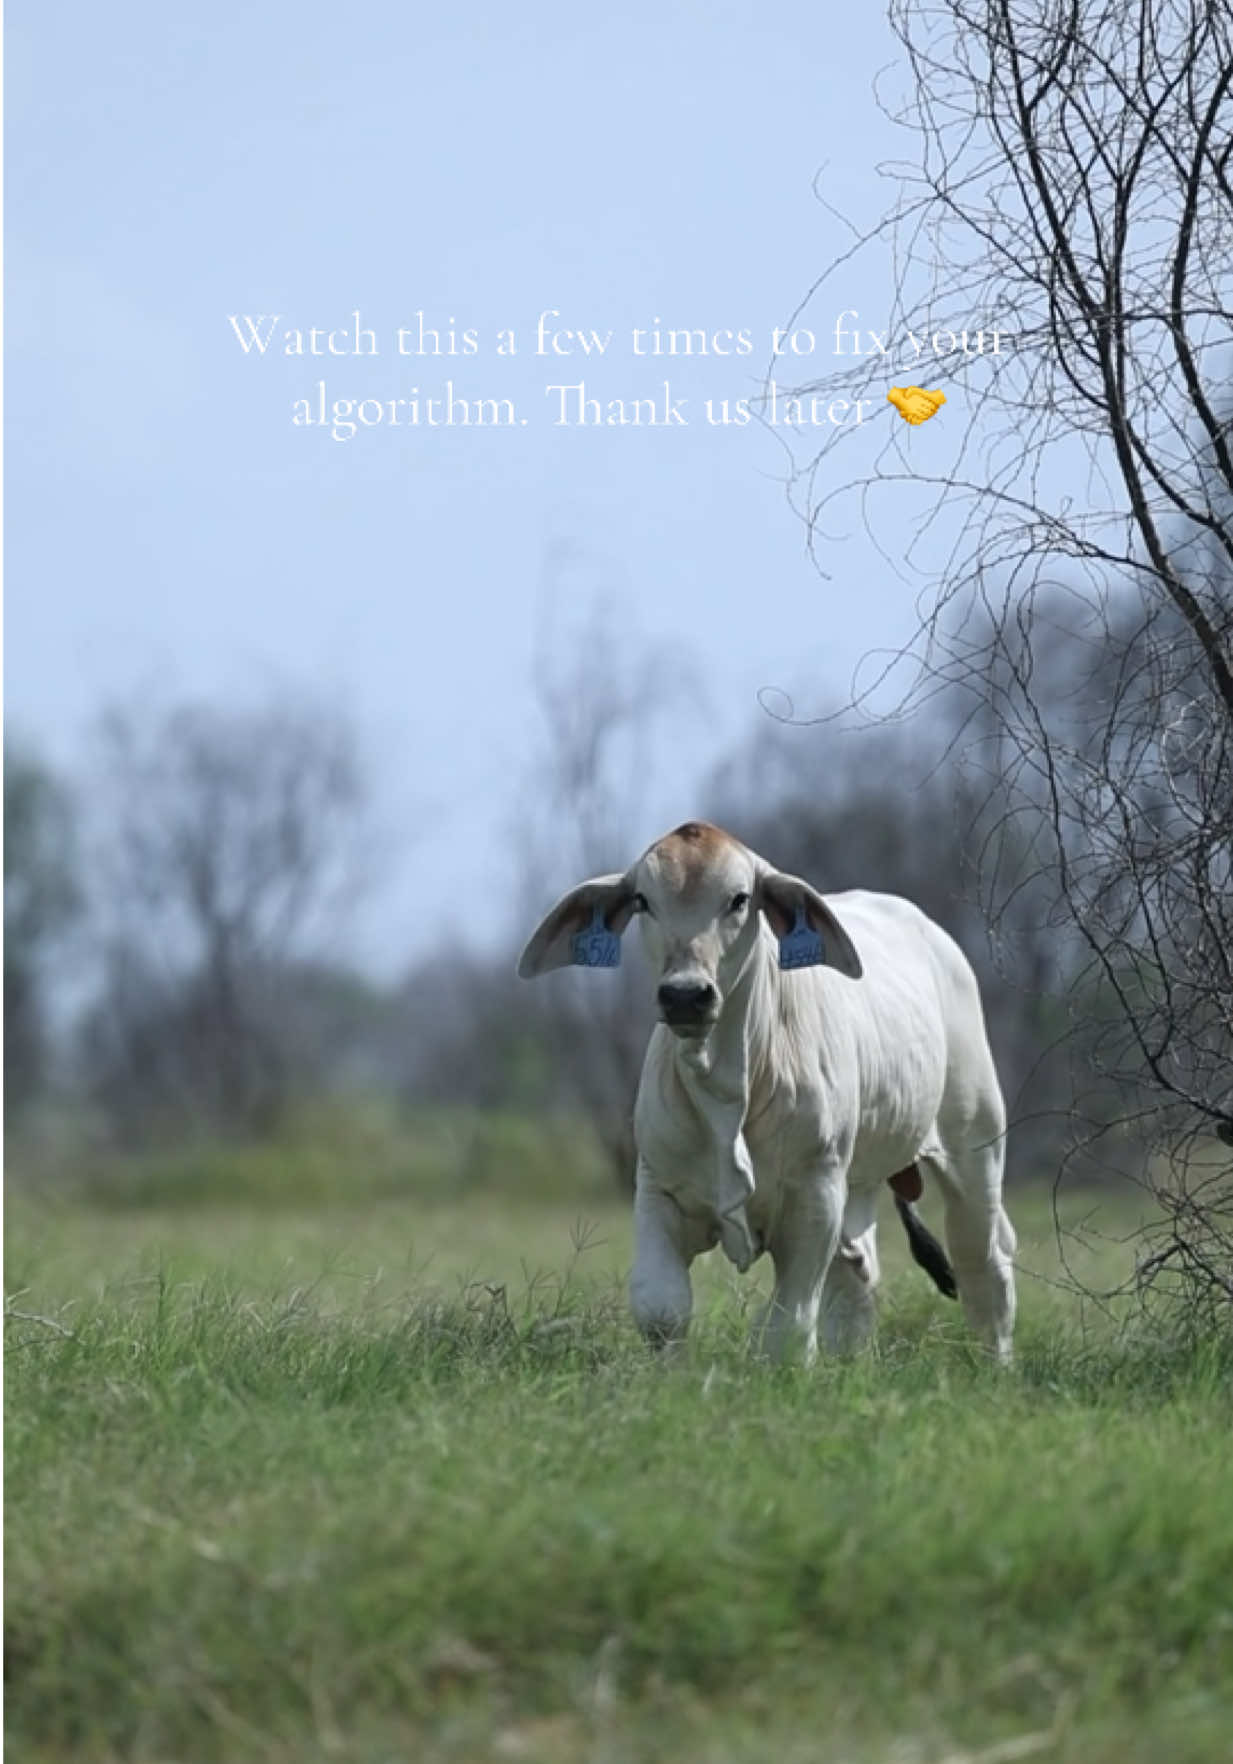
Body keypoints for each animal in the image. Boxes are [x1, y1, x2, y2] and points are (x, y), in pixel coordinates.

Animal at [517, 821, 1016, 1365]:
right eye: (643, 901)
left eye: (739, 899)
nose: (685, 995)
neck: (725, 1087)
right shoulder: (657, 1187)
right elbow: (661, 1307)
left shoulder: (814, 1195)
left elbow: (788, 1326)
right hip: (860, 1174)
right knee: (859, 1274)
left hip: (974, 1145)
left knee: (984, 1262)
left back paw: (997, 1365)